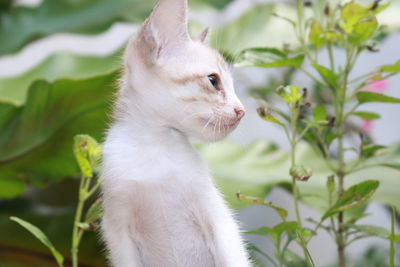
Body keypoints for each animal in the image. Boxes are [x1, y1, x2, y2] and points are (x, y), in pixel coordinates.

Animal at [99, 0, 250, 266]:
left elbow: (234, 257)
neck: (155, 147)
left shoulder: (218, 219)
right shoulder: (117, 231)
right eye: (214, 80)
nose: (241, 110)